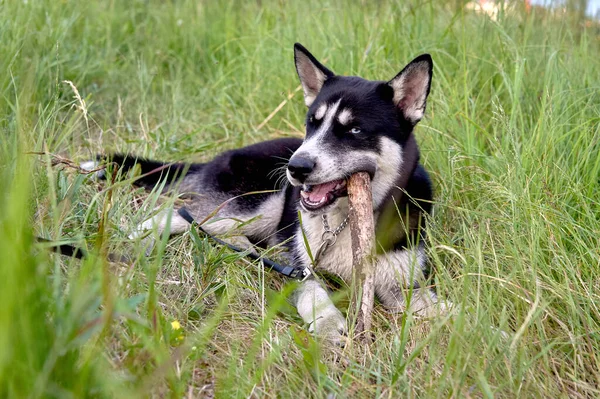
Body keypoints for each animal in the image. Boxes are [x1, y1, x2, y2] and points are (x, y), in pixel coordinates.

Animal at [83, 43, 440, 344]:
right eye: (312, 123)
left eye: (354, 130)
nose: (296, 167)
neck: (345, 222)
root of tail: (219, 156)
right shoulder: (301, 268)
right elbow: (313, 293)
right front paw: (328, 323)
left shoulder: (402, 282)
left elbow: (433, 307)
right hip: (258, 203)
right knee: (174, 215)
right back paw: (134, 240)